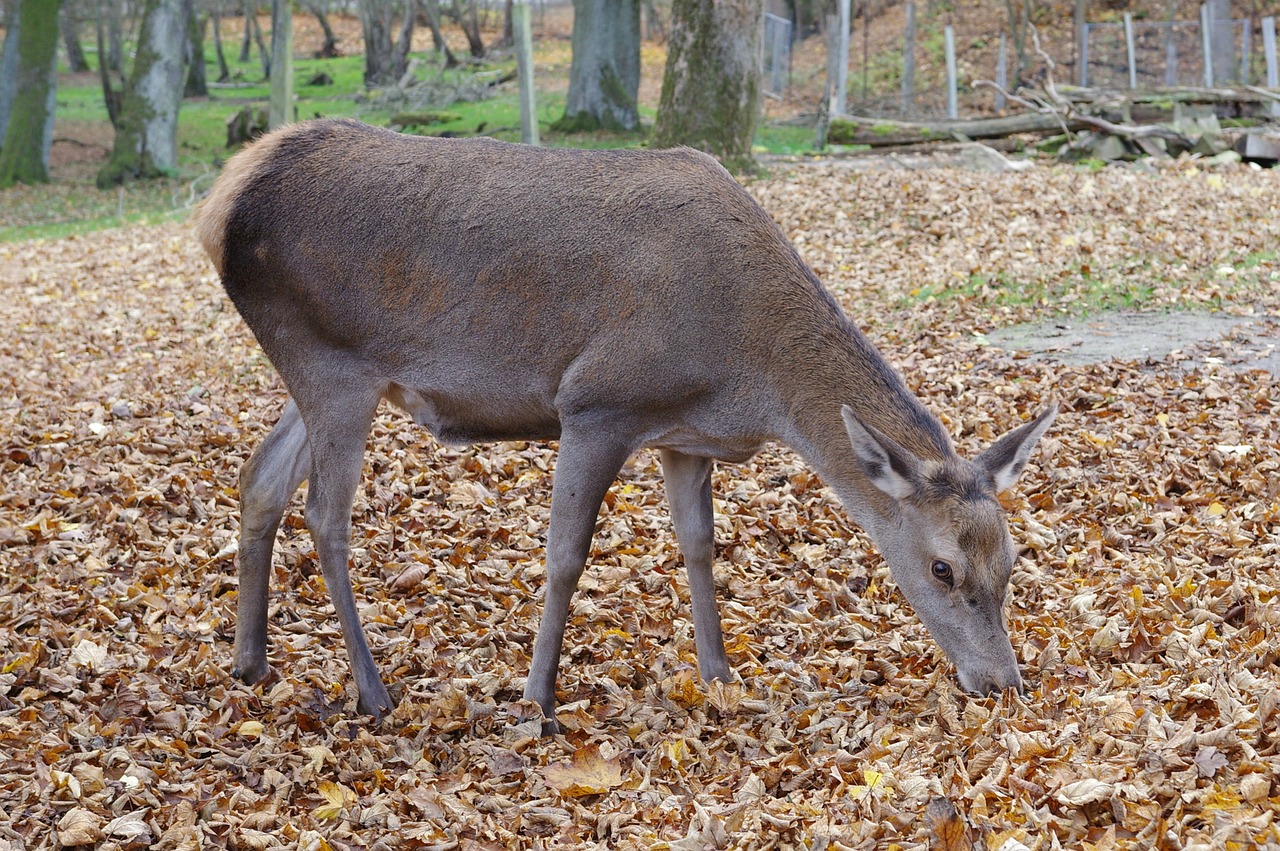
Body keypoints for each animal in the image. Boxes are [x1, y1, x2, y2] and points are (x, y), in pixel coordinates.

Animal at [197, 117, 1059, 721]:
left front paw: (720, 674)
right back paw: (372, 691)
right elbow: (564, 557)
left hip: (327, 371)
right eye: (943, 567)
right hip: (329, 357)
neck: (747, 374)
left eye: (1012, 559)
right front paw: (537, 699)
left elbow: (700, 545)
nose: (1003, 681)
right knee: (325, 514)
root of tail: (221, 202)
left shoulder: (684, 435)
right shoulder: (598, 402)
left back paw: (250, 659)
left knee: (260, 479)